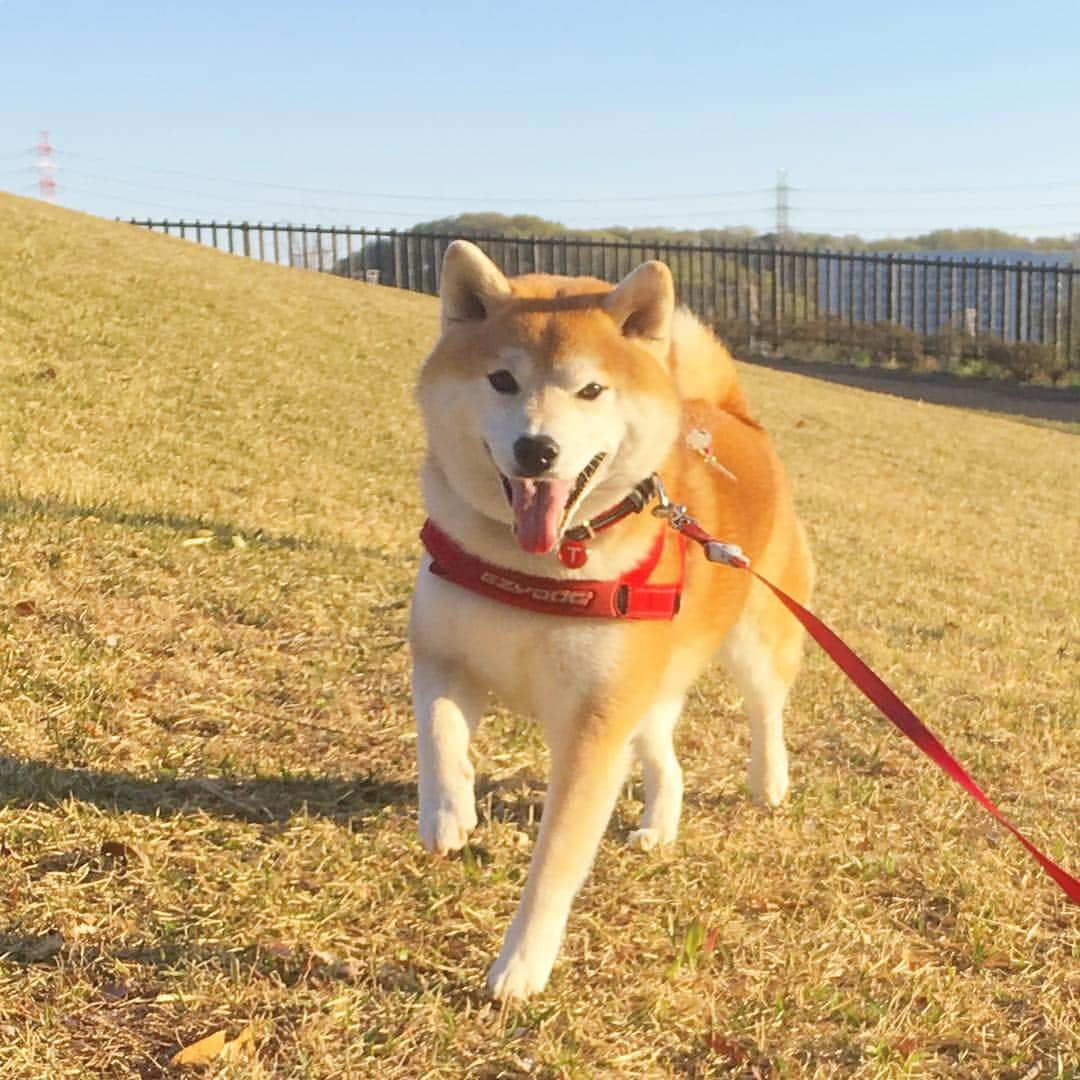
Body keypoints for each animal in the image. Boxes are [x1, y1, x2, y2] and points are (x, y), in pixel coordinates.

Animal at [406, 240, 812, 997]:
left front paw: (520, 966)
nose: (537, 450)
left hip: (753, 638)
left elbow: (556, 862)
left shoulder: (595, 725)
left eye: (591, 391)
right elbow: (439, 737)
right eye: (502, 379)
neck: (537, 565)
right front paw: (448, 813)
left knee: (766, 708)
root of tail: (732, 417)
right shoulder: (444, 651)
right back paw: (660, 823)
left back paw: (768, 781)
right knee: (664, 755)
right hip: (647, 684)